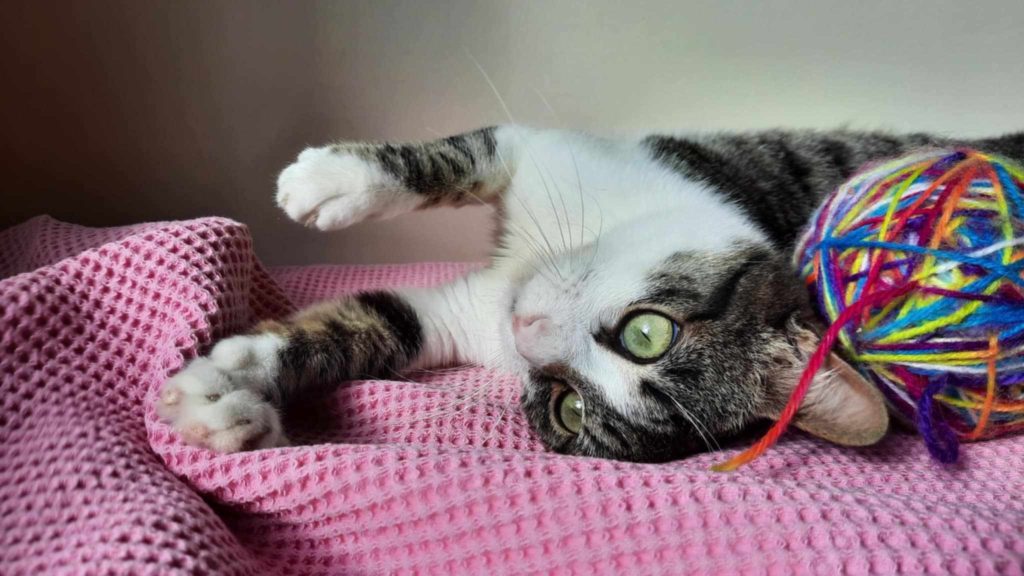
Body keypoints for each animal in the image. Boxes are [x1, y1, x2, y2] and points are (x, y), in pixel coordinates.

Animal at [157, 125, 1024, 462]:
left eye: (566, 408)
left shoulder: (469, 322)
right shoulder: (569, 154)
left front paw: (220, 397)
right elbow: (469, 152)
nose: (528, 329)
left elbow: (378, 322)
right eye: (649, 333)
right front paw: (332, 183)